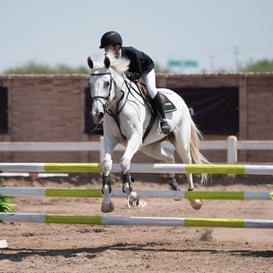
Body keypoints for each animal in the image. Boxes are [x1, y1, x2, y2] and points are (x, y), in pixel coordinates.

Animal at [86, 52, 206, 211]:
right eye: (90, 84)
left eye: (106, 83)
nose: (96, 114)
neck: (117, 106)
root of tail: (178, 97)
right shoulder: (110, 139)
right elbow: (106, 163)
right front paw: (107, 203)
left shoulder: (134, 138)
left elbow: (124, 162)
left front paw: (131, 193)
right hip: (149, 147)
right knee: (169, 157)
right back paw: (174, 187)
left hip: (181, 140)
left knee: (187, 162)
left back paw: (194, 198)